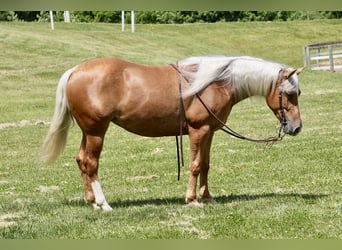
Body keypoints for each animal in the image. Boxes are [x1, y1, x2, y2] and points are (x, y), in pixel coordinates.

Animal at [42, 55, 302, 211]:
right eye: (290, 94)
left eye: (297, 93)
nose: (296, 127)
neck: (215, 83)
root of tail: (75, 71)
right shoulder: (198, 130)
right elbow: (195, 165)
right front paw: (192, 199)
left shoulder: (209, 132)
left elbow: (205, 164)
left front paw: (207, 196)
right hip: (97, 131)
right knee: (91, 163)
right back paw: (103, 203)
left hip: (88, 132)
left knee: (81, 161)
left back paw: (92, 202)